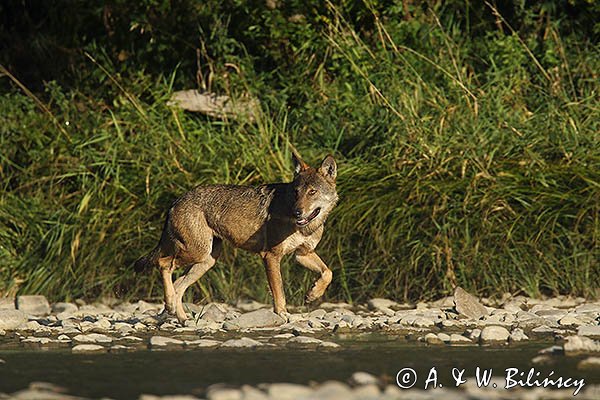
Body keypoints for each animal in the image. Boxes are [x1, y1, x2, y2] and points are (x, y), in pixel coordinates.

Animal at [135, 152, 338, 322]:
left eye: (312, 192)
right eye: (296, 192)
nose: (297, 212)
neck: (305, 227)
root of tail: (176, 201)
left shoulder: (302, 254)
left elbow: (328, 272)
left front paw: (313, 294)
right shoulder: (271, 256)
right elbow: (279, 292)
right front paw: (283, 314)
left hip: (206, 260)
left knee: (178, 284)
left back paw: (182, 318)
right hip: (197, 253)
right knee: (163, 264)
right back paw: (171, 306)